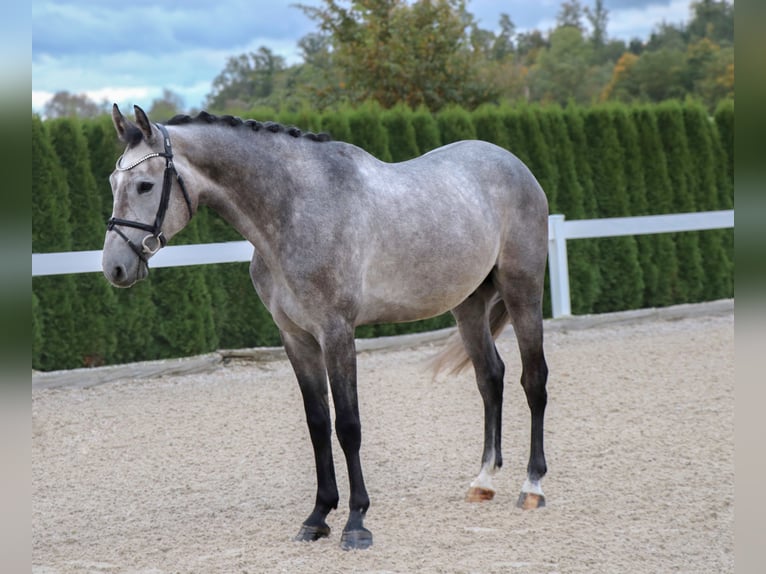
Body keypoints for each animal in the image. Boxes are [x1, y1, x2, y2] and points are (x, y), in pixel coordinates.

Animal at [103, 104, 552, 552]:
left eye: (145, 185)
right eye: (112, 182)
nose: (115, 268)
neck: (296, 210)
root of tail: (514, 164)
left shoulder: (337, 333)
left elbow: (348, 426)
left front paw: (356, 522)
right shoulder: (296, 339)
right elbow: (318, 424)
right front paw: (317, 517)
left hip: (523, 292)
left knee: (534, 380)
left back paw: (532, 487)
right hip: (469, 306)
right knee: (490, 378)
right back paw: (483, 481)